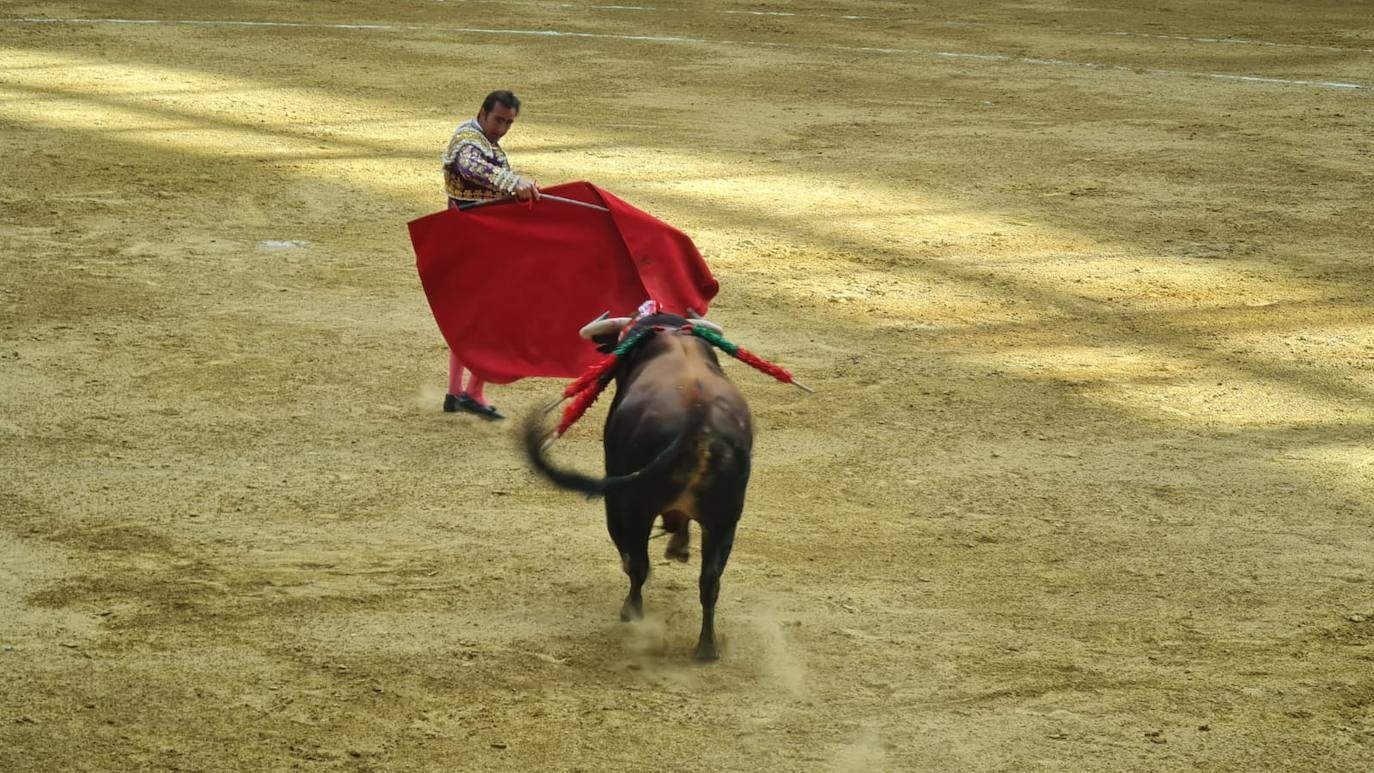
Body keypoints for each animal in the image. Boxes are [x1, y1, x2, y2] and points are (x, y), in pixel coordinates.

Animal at [519, 307, 752, 659]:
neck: (670, 336)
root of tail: (699, 420)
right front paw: (679, 546)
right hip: (725, 519)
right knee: (710, 580)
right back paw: (706, 648)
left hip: (629, 505)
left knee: (636, 562)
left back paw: (632, 612)